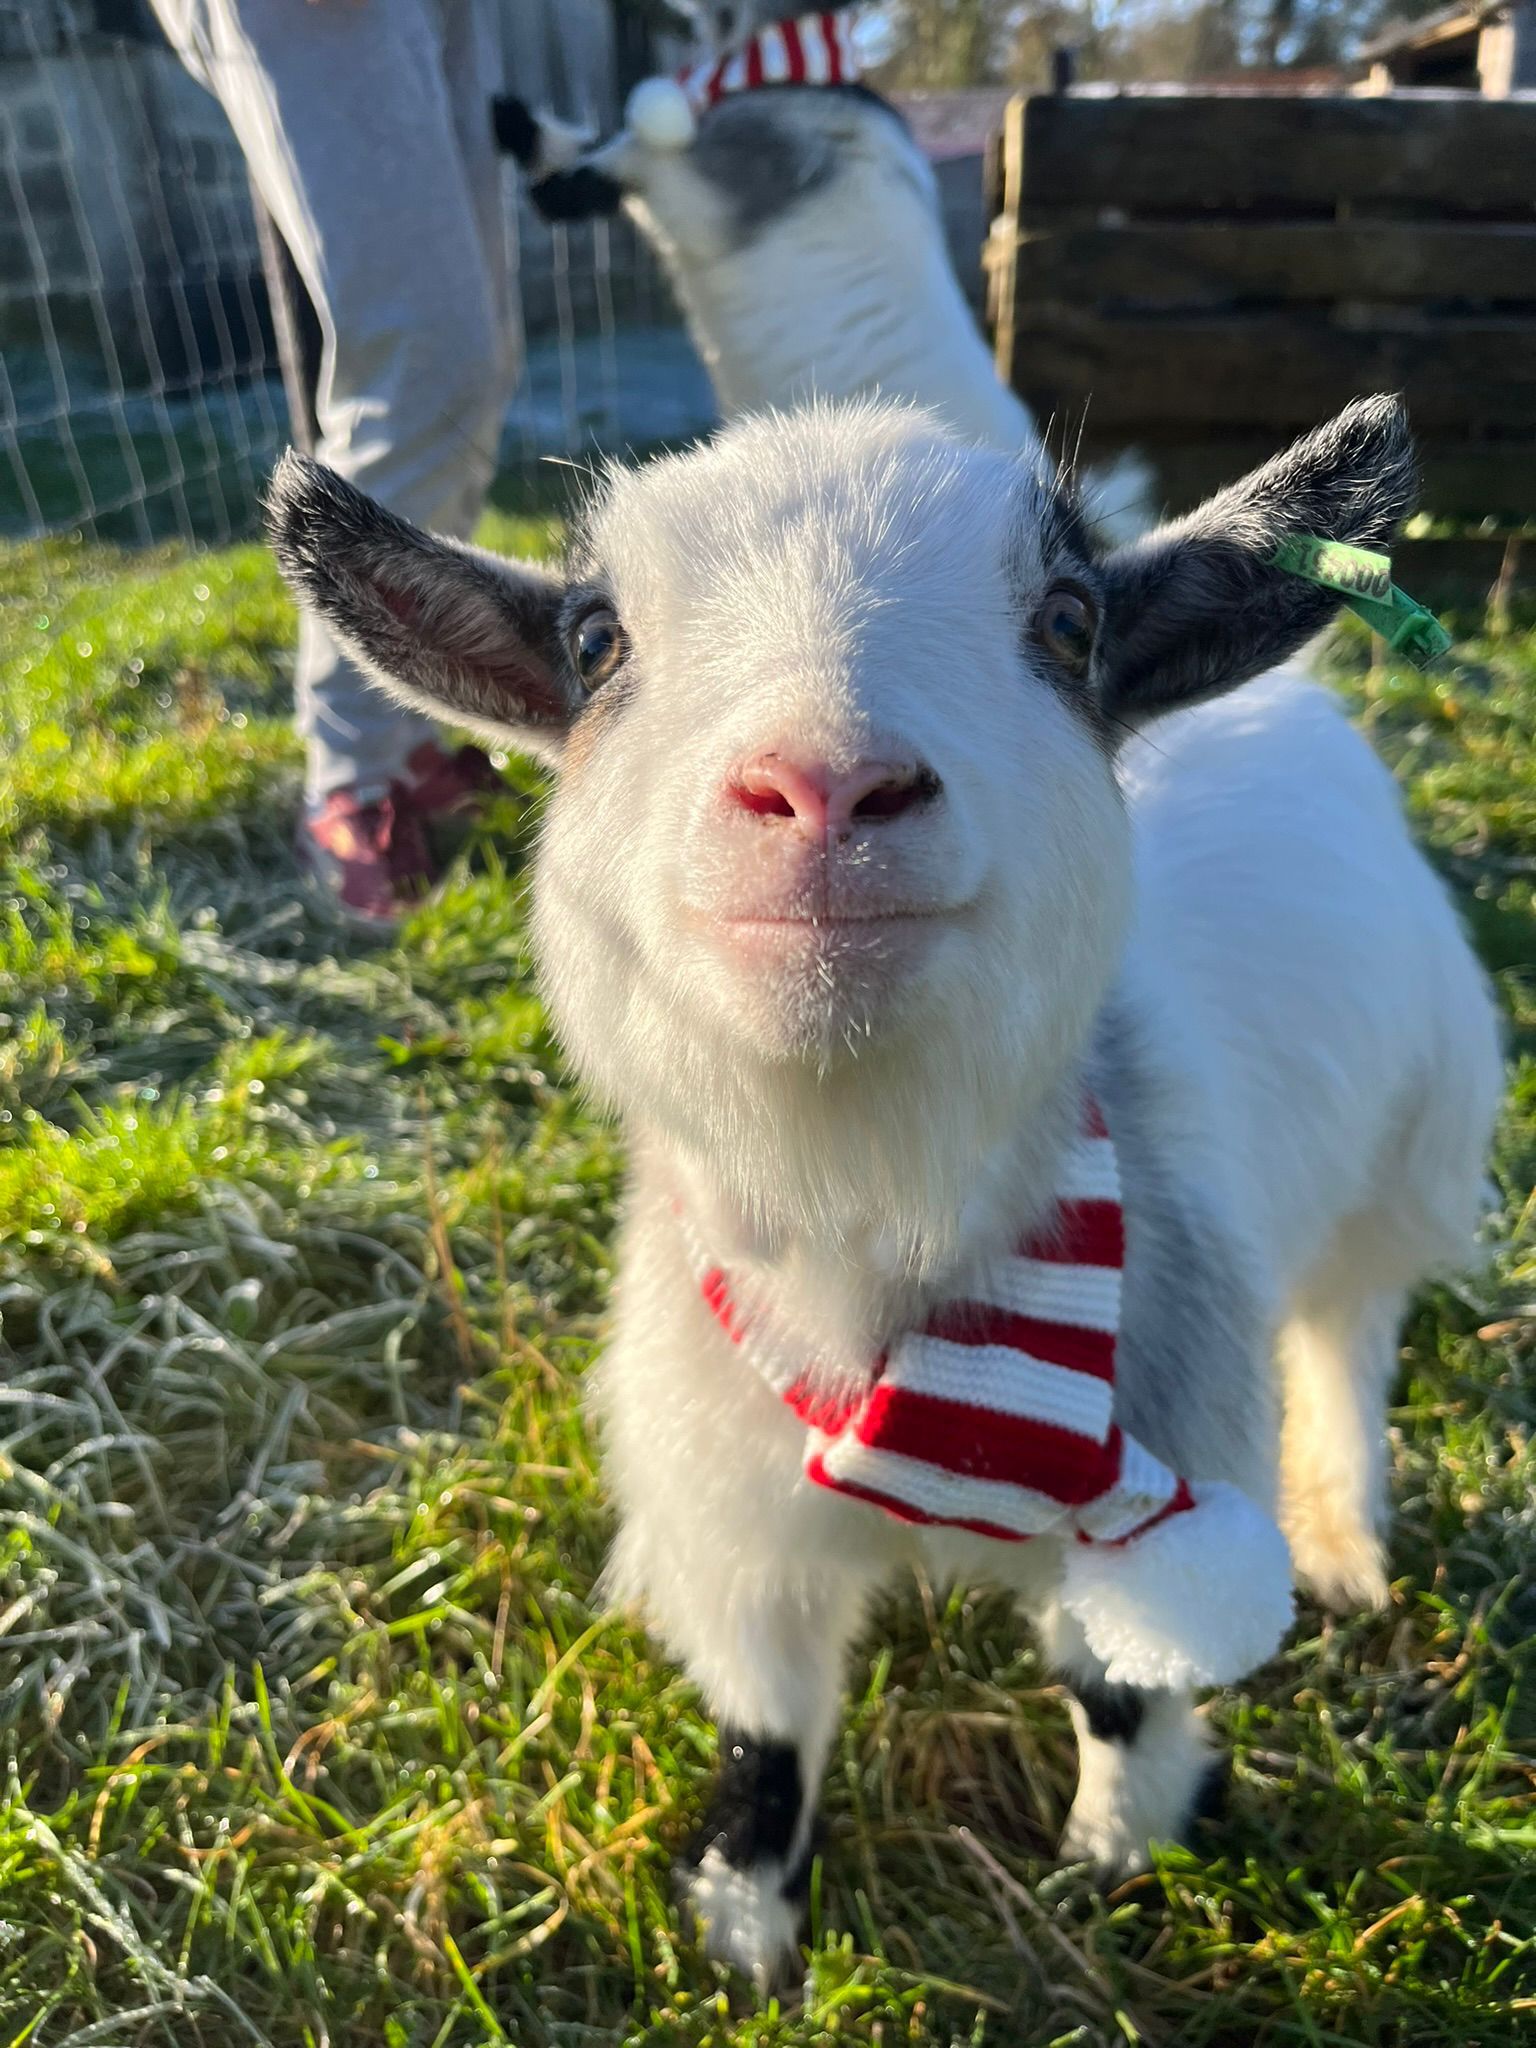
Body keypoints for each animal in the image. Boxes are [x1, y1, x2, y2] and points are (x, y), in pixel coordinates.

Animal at [268, 395, 1507, 1982]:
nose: (825, 788)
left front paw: (1115, 1856)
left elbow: (1119, 1684)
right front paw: (745, 1925)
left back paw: (1346, 1537)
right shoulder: (732, 1513)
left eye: (1068, 618)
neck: (875, 1205)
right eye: (598, 638)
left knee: (1349, 1330)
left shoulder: (1165, 1444)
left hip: (1412, 1135)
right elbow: (768, 1727)